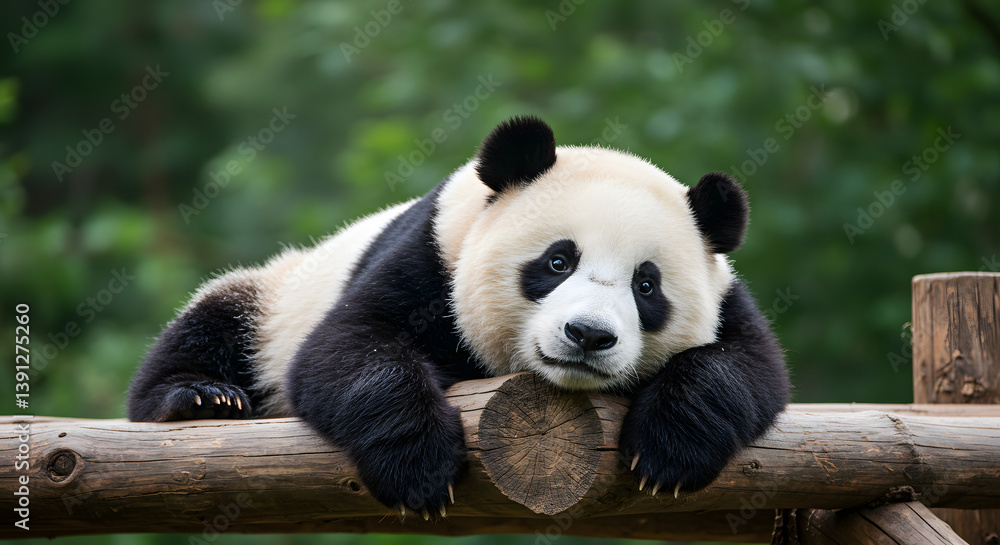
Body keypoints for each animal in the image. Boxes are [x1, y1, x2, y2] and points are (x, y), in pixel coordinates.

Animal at [128, 116, 788, 519]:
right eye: (557, 261)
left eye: (646, 286)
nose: (588, 335)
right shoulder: (432, 255)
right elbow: (350, 350)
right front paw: (420, 469)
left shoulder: (727, 296)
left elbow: (747, 369)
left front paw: (666, 453)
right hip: (277, 295)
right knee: (215, 318)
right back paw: (200, 397)